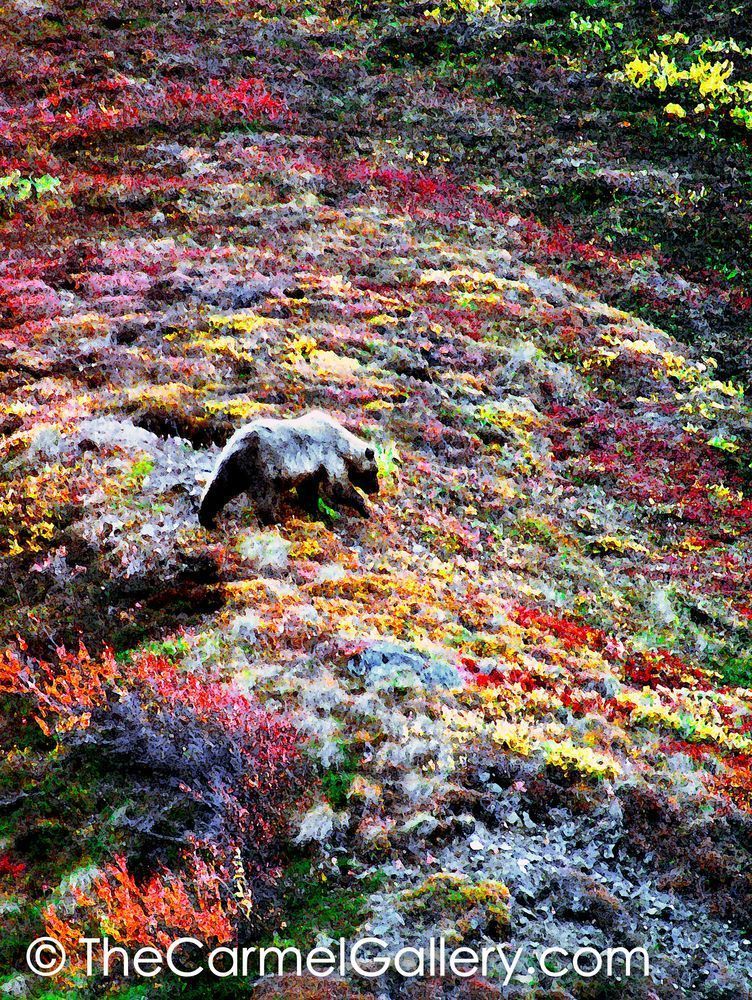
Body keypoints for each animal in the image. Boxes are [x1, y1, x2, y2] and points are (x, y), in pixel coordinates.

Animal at [198, 409, 379, 528]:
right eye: (374, 471)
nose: (375, 488)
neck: (344, 446)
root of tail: (236, 443)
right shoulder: (330, 456)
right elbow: (337, 487)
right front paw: (364, 508)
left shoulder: (313, 470)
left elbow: (309, 492)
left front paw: (317, 513)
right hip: (262, 467)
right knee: (266, 497)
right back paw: (274, 520)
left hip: (233, 466)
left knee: (219, 488)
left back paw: (206, 519)